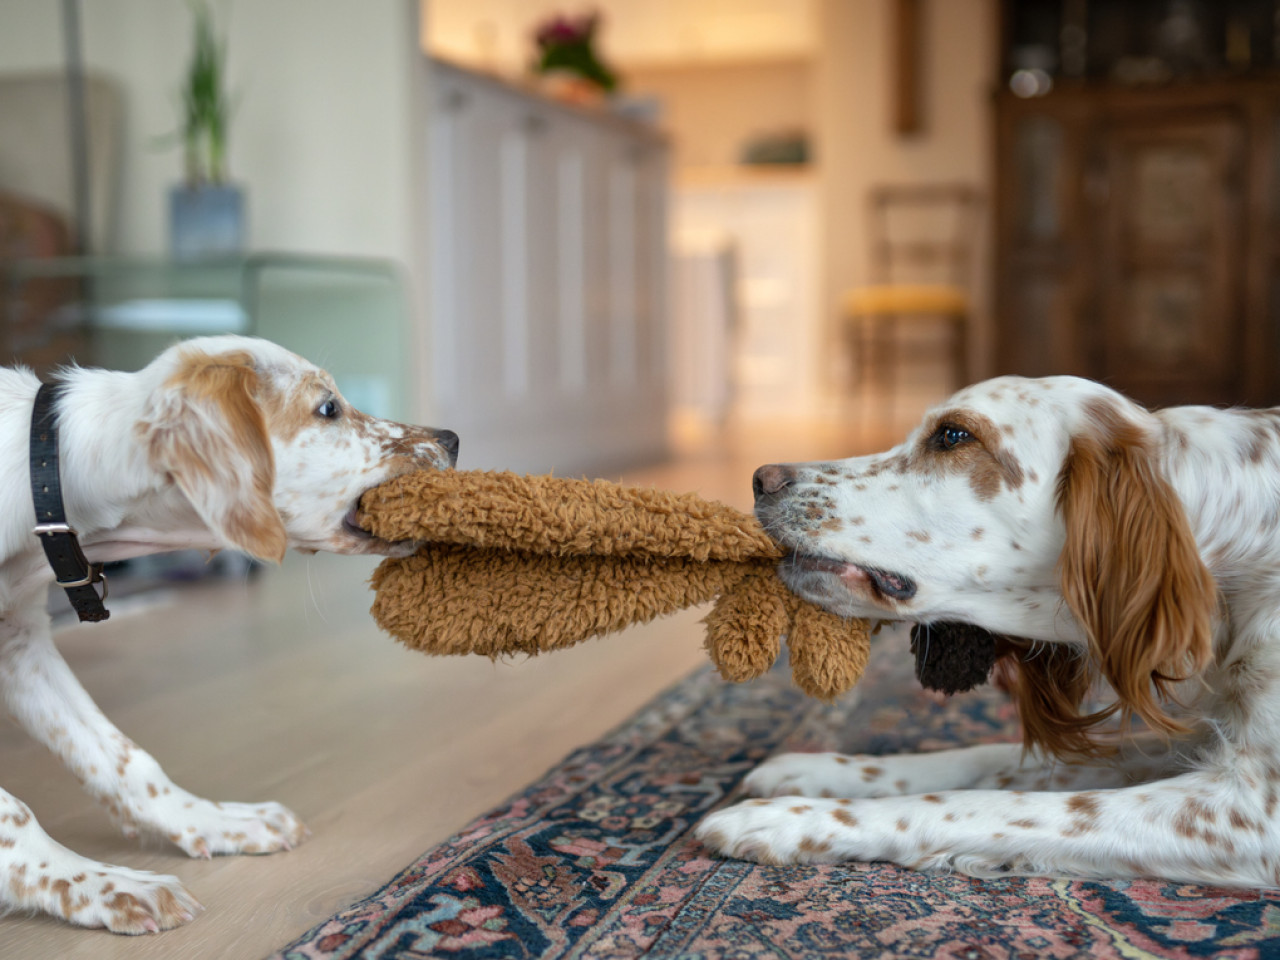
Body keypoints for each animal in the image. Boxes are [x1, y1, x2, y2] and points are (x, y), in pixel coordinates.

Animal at [0, 337, 458, 931]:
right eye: (327, 408)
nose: (452, 439)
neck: (44, 478)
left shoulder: (20, 639)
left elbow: (120, 755)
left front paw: (212, 822)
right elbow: (12, 812)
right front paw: (97, 885)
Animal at [701, 378, 1280, 896]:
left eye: (953, 436)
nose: (761, 478)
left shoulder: (1249, 808)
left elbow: (981, 804)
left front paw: (790, 819)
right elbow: (989, 760)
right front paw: (813, 769)